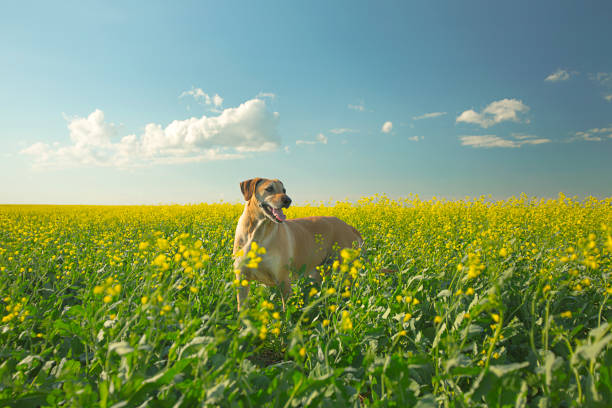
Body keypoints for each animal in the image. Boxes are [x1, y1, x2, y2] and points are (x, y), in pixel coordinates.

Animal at [232, 178, 360, 310]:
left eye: (284, 190)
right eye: (269, 189)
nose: (288, 200)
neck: (258, 232)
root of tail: (347, 225)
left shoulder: (283, 280)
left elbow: (285, 310)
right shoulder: (241, 279)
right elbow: (241, 308)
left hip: (345, 271)